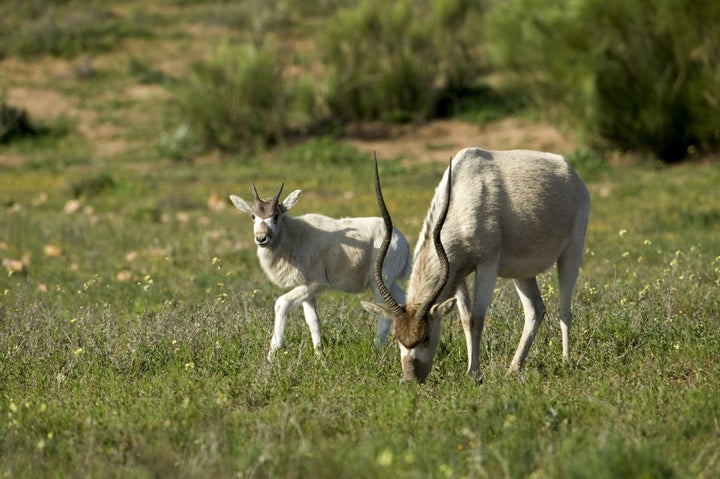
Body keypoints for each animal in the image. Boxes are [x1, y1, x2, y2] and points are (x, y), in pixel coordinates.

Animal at [231, 184, 410, 360]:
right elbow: (313, 321)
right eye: (253, 216)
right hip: (389, 284)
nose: (261, 238)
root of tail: (401, 239)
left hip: (380, 281)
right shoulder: (306, 289)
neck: (293, 236)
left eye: (275, 216)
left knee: (383, 317)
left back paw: (376, 353)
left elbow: (281, 303)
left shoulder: (315, 284)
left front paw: (271, 356)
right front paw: (319, 356)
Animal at [360, 148, 592, 384]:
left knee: (564, 311)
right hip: (522, 272)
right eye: (397, 337)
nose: (410, 380)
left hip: (571, 252)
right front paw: (472, 370)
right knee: (535, 310)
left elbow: (477, 319)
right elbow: (465, 318)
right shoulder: (457, 271)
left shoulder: (487, 264)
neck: (463, 194)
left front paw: (474, 374)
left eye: (426, 337)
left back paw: (565, 362)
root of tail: (570, 172)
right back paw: (513, 369)